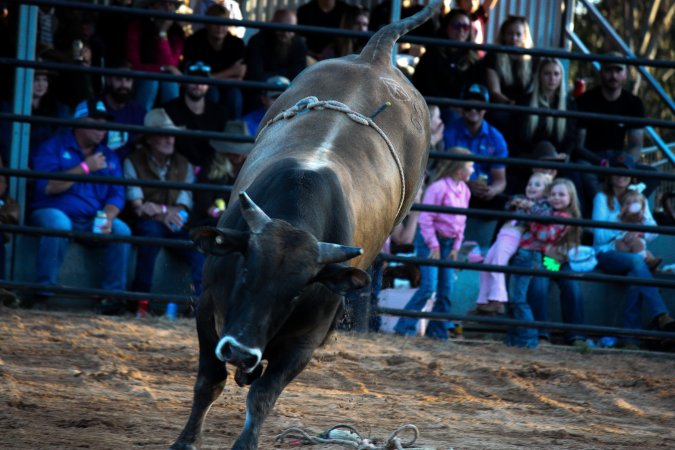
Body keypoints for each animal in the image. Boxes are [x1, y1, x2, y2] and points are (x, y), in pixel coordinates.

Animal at [170, 2, 441, 449]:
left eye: (297, 292)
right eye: (245, 268)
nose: (241, 353)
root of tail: (375, 56)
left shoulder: (302, 342)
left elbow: (263, 395)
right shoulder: (209, 310)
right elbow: (209, 382)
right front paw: (186, 439)